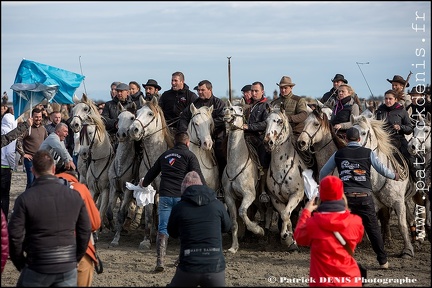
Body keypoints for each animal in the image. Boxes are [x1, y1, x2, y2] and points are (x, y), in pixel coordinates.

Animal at [127, 97, 173, 250]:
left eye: (150, 114)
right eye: (137, 113)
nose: (133, 130)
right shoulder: (147, 187)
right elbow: (148, 216)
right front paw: (146, 240)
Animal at [223, 100, 266, 253]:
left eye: (240, 109)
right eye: (227, 107)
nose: (227, 111)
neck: (236, 164)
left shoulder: (249, 195)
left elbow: (242, 212)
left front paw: (257, 229)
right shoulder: (229, 197)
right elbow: (234, 222)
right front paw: (233, 247)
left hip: (258, 196)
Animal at [264, 105, 308, 250]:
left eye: (279, 121)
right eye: (266, 121)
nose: (268, 142)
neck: (282, 166)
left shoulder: (296, 195)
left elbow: (285, 214)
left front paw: (286, 237)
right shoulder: (275, 199)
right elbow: (285, 216)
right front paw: (289, 238)